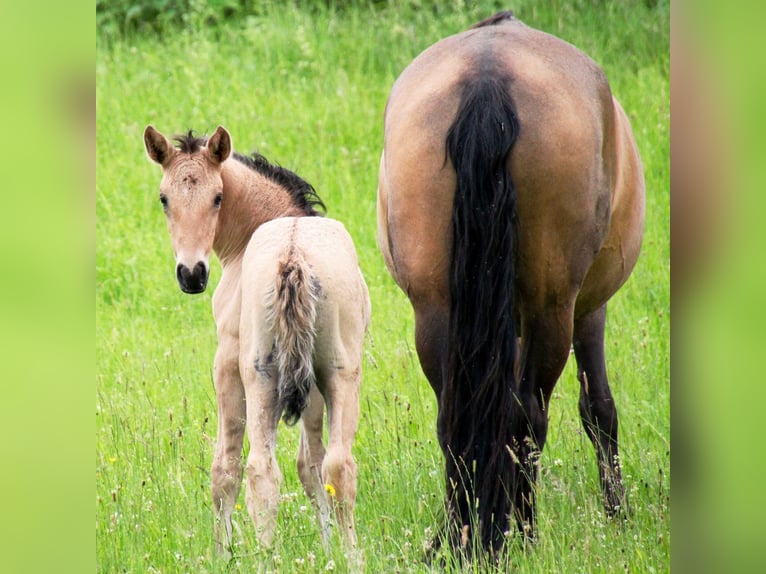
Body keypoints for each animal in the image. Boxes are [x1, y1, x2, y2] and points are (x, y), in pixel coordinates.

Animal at [146, 125, 374, 560]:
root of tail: (293, 255)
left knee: (261, 471)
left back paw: (266, 558)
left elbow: (225, 469)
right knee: (339, 466)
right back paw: (352, 558)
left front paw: (221, 555)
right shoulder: (311, 383)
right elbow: (312, 465)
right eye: (165, 198)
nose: (191, 274)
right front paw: (327, 550)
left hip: (260, 377)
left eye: (217, 197)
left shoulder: (226, 363)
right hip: (339, 373)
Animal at [378, 12, 648, 552]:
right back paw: (520, 533)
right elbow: (599, 408)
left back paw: (461, 535)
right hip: (552, 310)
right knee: (527, 420)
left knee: (458, 418)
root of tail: (488, 76)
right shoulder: (588, 309)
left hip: (436, 310)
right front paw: (618, 513)